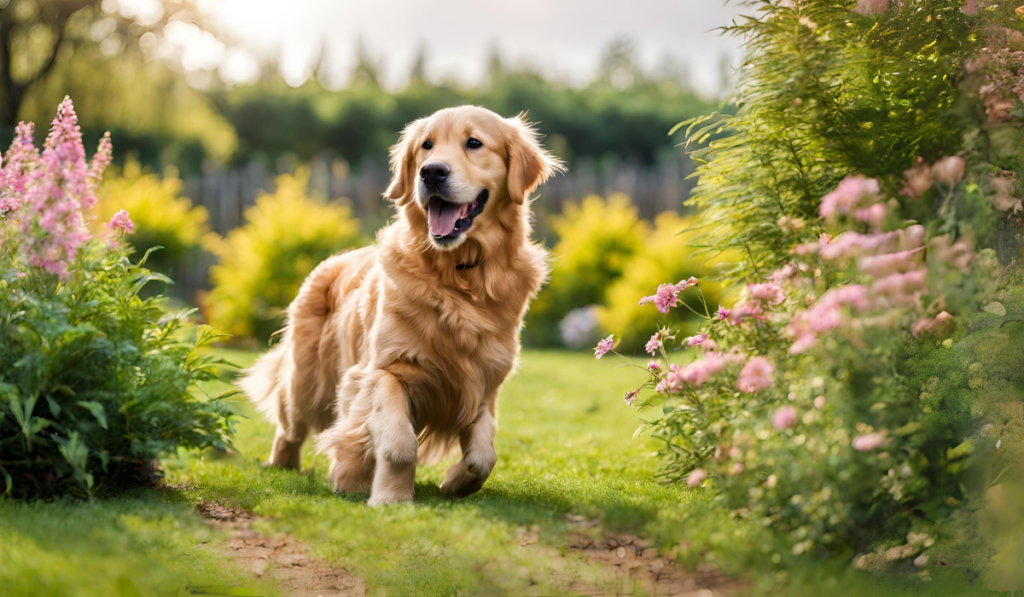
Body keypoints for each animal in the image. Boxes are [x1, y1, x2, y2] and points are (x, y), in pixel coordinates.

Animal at [237, 106, 561, 503]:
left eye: (474, 143)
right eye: (426, 145)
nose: (432, 172)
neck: (458, 275)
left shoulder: (483, 384)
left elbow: (484, 455)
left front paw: (456, 481)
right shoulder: (381, 370)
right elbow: (398, 443)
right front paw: (385, 494)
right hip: (305, 380)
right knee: (289, 425)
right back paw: (280, 464)